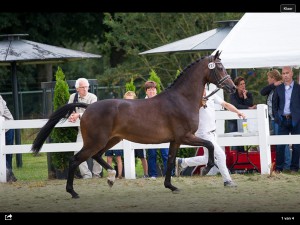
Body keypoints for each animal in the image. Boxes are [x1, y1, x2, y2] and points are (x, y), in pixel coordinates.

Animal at [31, 51, 236, 199]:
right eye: (219, 67)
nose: (232, 88)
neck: (181, 99)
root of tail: (88, 107)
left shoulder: (175, 140)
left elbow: (171, 160)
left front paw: (171, 186)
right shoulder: (185, 136)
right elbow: (209, 145)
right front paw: (208, 167)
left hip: (111, 140)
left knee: (96, 156)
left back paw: (112, 177)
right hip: (95, 142)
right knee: (75, 160)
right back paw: (73, 192)